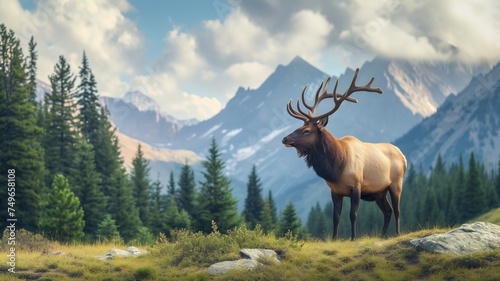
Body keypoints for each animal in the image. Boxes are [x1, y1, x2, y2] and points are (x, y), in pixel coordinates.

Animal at [282, 69, 406, 240]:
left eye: (306, 130)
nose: (285, 138)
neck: (336, 167)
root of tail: (403, 156)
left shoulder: (357, 186)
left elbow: (353, 214)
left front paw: (353, 237)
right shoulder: (335, 191)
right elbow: (336, 217)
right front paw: (335, 239)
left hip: (396, 184)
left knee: (397, 210)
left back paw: (397, 233)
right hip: (379, 192)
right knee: (387, 211)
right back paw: (382, 235)